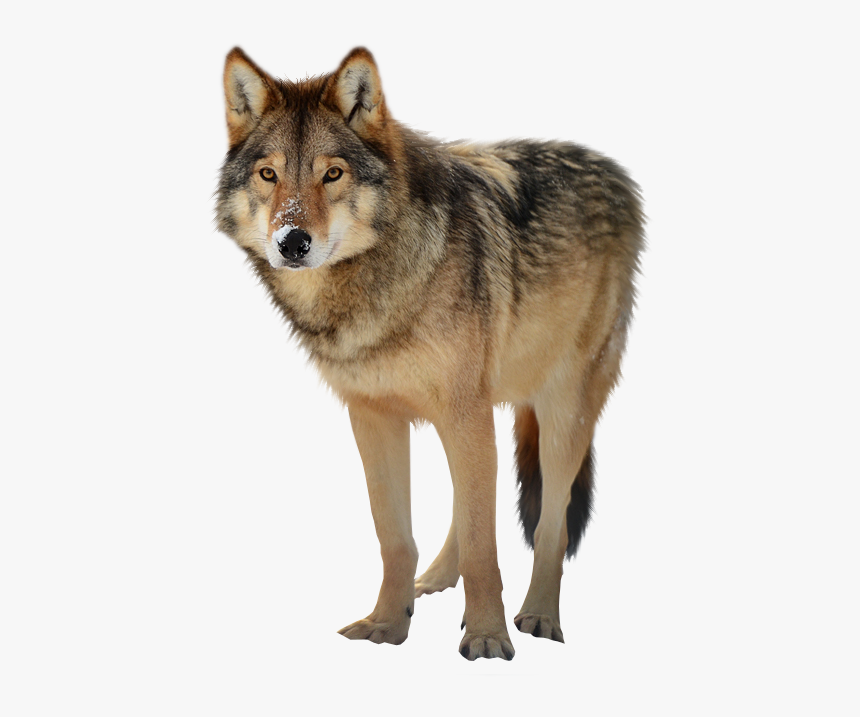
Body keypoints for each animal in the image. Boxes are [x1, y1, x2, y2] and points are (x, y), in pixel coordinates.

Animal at [216, 46, 644, 660]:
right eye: (268, 174)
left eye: (332, 172)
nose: (292, 242)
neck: (377, 290)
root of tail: (616, 172)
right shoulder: (374, 417)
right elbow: (397, 538)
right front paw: (386, 625)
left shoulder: (464, 412)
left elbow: (490, 544)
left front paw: (489, 637)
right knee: (467, 512)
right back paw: (438, 581)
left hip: (562, 409)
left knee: (550, 523)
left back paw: (539, 614)